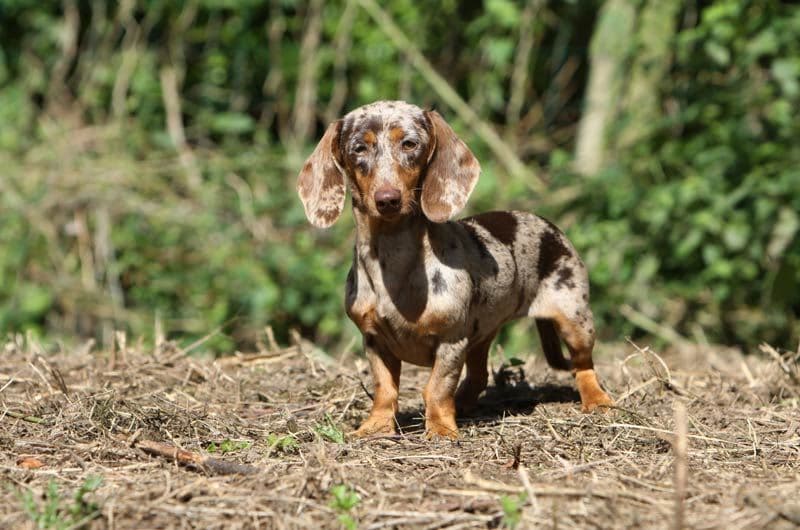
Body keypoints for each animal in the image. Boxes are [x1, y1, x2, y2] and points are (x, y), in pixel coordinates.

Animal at [296, 99, 616, 438]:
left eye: (409, 144)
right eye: (358, 148)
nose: (388, 200)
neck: (392, 259)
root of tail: (549, 225)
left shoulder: (451, 341)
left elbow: (436, 388)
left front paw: (440, 429)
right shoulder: (374, 340)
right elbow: (385, 389)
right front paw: (376, 426)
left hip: (575, 320)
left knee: (584, 365)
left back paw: (597, 400)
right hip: (481, 334)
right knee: (478, 377)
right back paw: (462, 404)